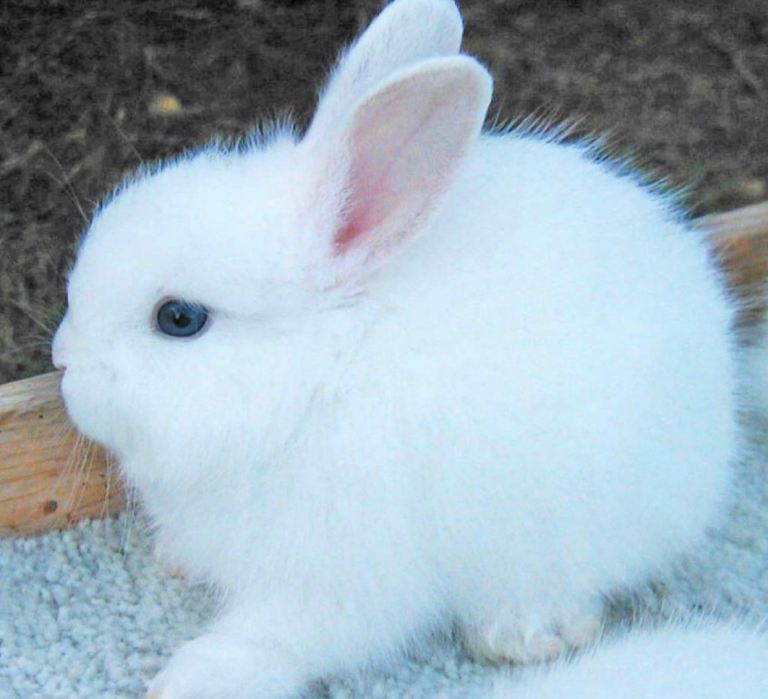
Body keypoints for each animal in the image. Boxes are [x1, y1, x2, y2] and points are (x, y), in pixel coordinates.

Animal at [51, 0, 745, 697]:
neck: (318, 378)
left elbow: (281, 638)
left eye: (179, 318)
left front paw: (190, 678)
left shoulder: (341, 573)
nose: (61, 361)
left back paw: (525, 633)